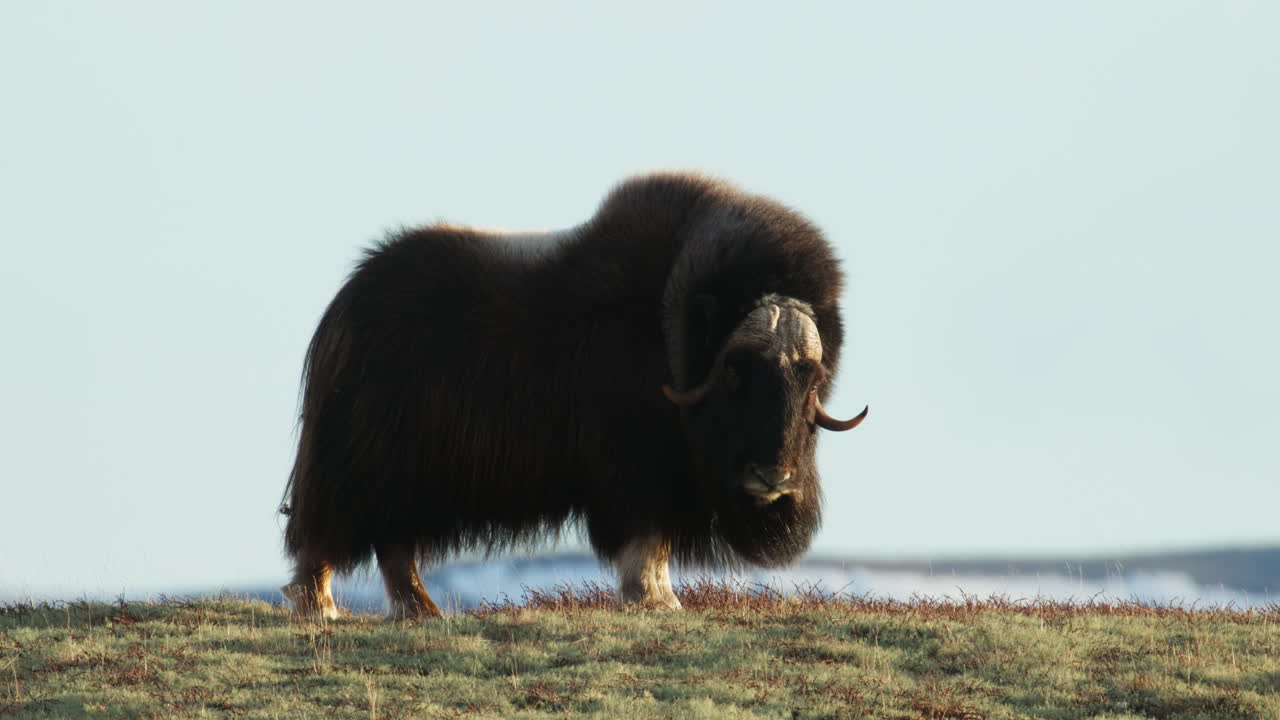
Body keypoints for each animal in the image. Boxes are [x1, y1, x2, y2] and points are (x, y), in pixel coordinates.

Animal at [279, 172, 868, 619]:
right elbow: (647, 535)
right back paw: (322, 606)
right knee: (332, 529)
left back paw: (421, 610)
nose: (775, 477)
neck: (670, 337)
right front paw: (656, 599)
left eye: (810, 377)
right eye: (734, 374)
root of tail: (347, 304)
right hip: (366, 462)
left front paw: (660, 598)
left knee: (392, 540)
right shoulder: (637, 468)